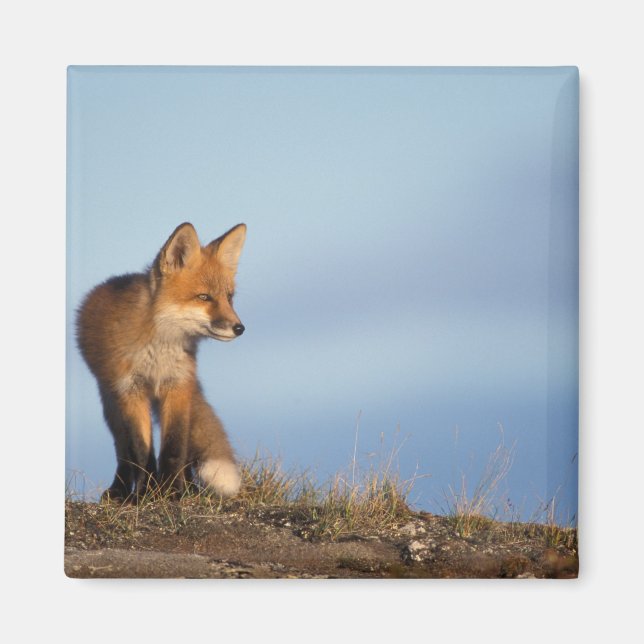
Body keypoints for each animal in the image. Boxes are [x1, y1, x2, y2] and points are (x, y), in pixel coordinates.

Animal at [76, 222, 247, 502]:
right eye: (204, 297)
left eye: (229, 298)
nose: (239, 328)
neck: (159, 349)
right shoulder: (130, 390)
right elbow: (141, 450)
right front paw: (147, 494)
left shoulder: (177, 385)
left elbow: (174, 448)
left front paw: (172, 491)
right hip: (110, 402)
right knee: (123, 451)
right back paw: (120, 491)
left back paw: (188, 488)